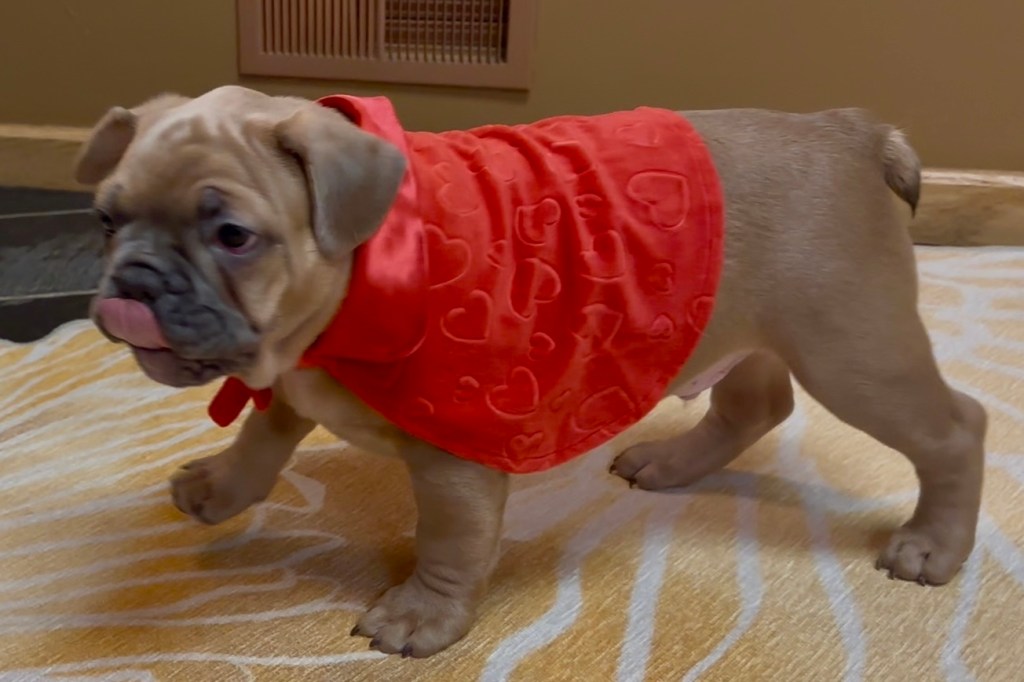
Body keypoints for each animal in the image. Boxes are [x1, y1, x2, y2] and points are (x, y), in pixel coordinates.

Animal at [75, 85, 986, 658]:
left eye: (233, 235)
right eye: (106, 219)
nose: (136, 281)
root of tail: (849, 131)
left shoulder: (456, 453)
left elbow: (449, 540)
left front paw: (422, 616)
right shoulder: (291, 377)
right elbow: (265, 431)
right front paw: (221, 487)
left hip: (854, 349)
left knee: (955, 429)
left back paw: (933, 545)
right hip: (746, 328)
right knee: (756, 401)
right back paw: (671, 462)